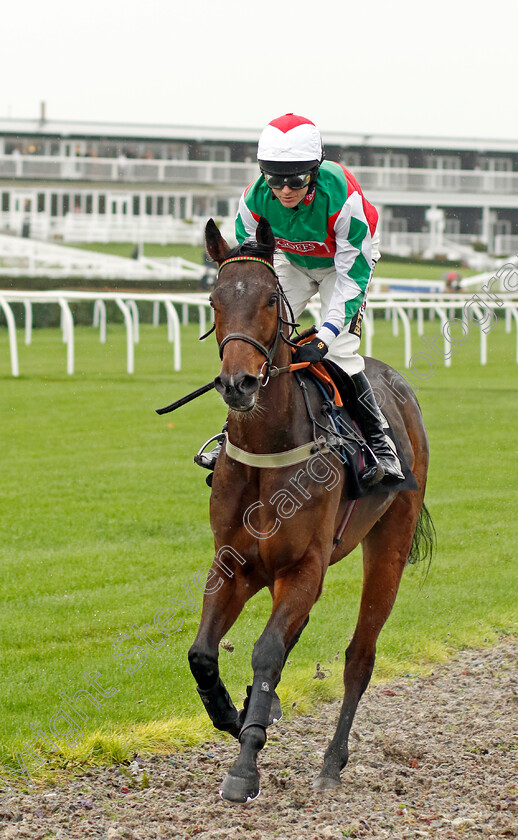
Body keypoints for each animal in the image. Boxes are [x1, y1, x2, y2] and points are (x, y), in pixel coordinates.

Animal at [188, 215, 434, 800]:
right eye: (214, 300)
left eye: (269, 301)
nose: (238, 383)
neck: (268, 450)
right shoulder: (234, 565)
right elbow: (204, 654)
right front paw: (237, 716)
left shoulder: (304, 566)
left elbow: (268, 651)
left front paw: (246, 763)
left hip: (389, 543)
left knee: (359, 656)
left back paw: (332, 762)